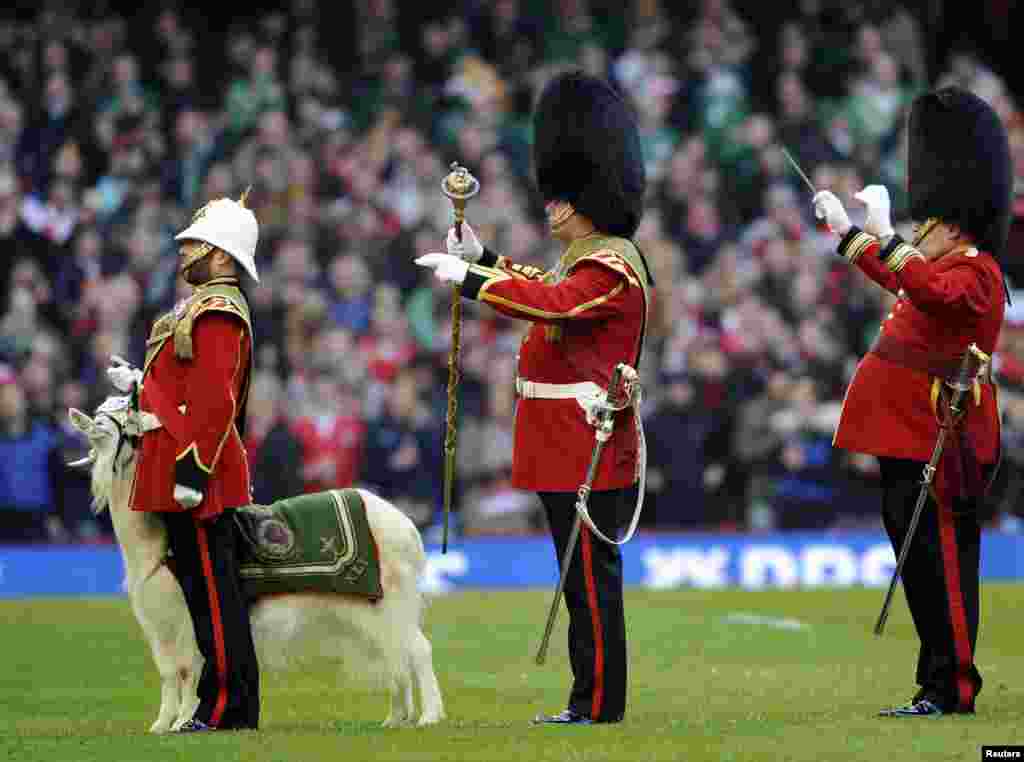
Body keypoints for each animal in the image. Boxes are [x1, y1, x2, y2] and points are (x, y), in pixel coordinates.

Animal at [68, 401, 444, 733]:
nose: (94, 424)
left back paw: (429, 716)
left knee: (418, 650)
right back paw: (396, 718)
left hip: (391, 599)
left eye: (128, 422)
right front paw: (161, 725)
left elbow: (189, 670)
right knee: (395, 653)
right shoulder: (157, 620)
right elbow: (169, 673)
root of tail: (407, 527)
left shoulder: (187, 615)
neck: (154, 545)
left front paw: (183, 721)